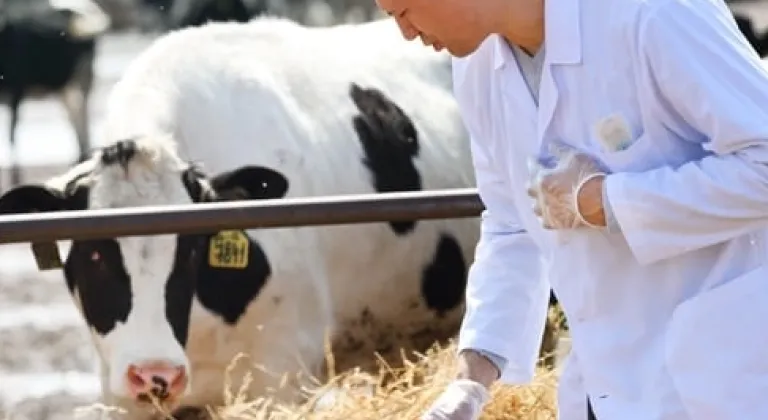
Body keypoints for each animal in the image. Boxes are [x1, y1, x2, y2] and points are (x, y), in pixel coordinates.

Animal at [0, 0, 109, 189]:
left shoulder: (16, 90)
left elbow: (11, 136)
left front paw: (16, 180)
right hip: (66, 87)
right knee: (76, 120)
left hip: (81, 76)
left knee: (82, 120)